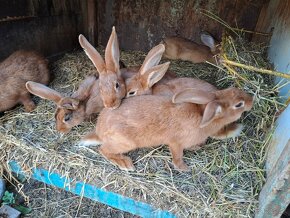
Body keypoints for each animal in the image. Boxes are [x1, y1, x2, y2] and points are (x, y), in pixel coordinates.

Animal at [82, 87, 254, 171]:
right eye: (239, 104)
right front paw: (184, 168)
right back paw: (125, 163)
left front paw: (196, 148)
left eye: (232, 88)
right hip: (125, 142)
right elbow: (177, 156)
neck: (202, 114)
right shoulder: (176, 143)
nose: (252, 99)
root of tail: (99, 131)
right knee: (104, 150)